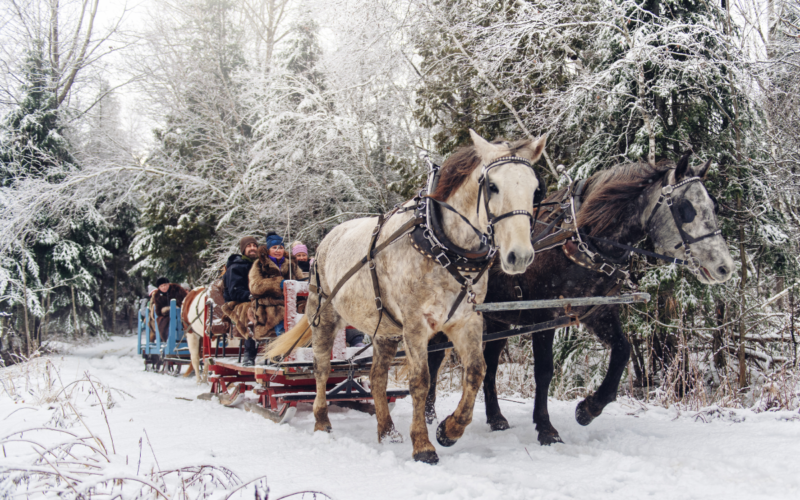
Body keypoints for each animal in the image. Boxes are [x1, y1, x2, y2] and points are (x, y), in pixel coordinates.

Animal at [272, 130, 548, 464]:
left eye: (535, 190)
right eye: (492, 186)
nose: (519, 256)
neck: (443, 245)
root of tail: (329, 237)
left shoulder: (465, 320)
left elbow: (475, 372)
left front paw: (449, 430)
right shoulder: (416, 324)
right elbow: (421, 381)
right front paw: (423, 445)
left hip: (384, 329)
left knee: (377, 377)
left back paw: (387, 430)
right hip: (323, 314)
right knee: (322, 369)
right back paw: (322, 421)